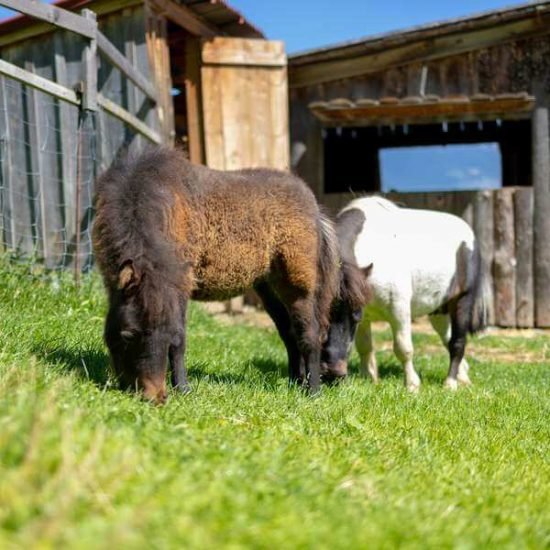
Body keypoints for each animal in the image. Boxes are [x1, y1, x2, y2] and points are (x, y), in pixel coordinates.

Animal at [93, 147, 342, 406]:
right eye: (127, 334)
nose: (156, 396)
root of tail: (314, 207)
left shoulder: (180, 287)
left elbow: (178, 339)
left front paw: (183, 389)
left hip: (297, 285)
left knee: (309, 335)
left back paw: (313, 392)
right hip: (269, 288)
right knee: (290, 334)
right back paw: (296, 383)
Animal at [324, 197, 492, 392]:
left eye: (354, 317)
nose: (332, 374)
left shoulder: (398, 310)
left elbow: (403, 348)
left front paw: (412, 385)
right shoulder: (365, 314)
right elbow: (365, 347)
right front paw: (370, 379)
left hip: (462, 300)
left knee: (457, 342)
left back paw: (450, 383)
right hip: (438, 311)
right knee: (447, 338)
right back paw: (463, 377)